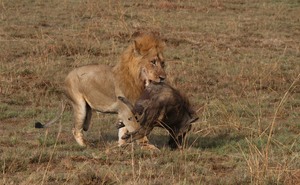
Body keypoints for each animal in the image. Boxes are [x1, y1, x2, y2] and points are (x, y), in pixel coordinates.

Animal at [36, 33, 166, 149]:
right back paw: (87, 145)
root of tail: (66, 78)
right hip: (80, 106)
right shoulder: (125, 109)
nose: (163, 77)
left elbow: (123, 129)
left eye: (163, 63)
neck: (138, 81)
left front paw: (122, 145)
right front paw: (149, 147)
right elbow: (136, 128)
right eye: (153, 62)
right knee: (75, 129)